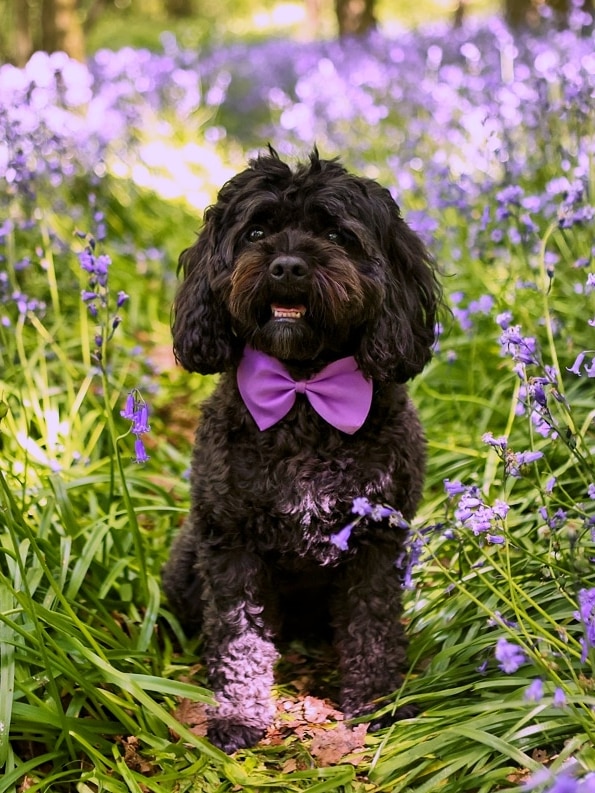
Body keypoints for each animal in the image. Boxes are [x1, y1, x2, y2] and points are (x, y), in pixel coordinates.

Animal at [163, 147, 442, 748]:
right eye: (257, 230)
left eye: (336, 235)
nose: (288, 266)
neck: (303, 392)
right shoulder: (232, 546)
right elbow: (239, 641)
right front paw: (238, 715)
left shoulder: (376, 543)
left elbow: (373, 629)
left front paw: (378, 703)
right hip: (187, 564)